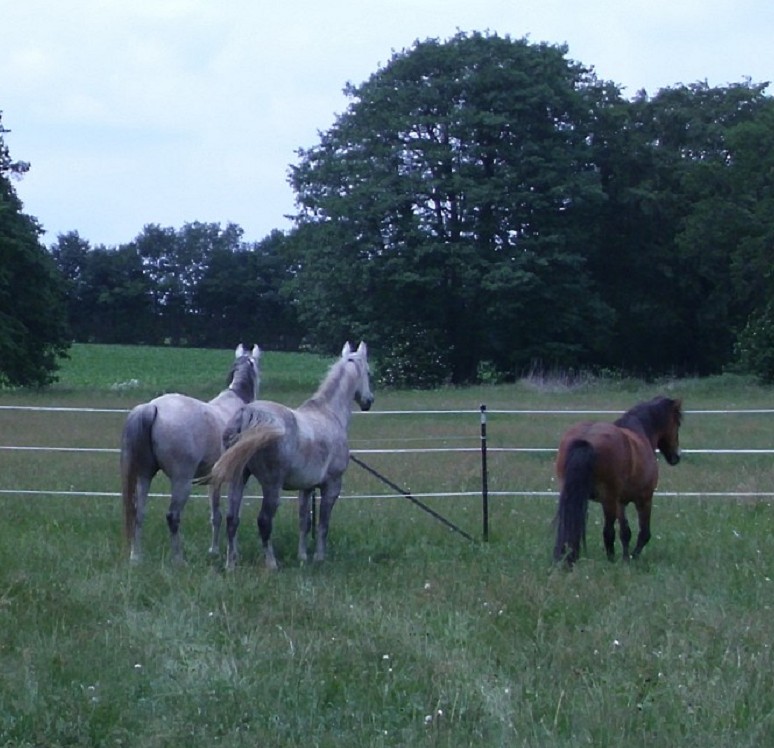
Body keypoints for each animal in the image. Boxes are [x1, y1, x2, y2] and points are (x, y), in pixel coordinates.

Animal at [121, 344, 260, 560]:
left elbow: (216, 515)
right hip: (181, 481)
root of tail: (152, 407)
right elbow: (234, 515)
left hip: (144, 476)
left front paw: (214, 550)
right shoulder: (237, 478)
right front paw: (233, 552)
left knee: (138, 513)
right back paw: (178, 559)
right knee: (173, 516)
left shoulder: (215, 480)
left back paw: (136, 557)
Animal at [208, 342, 374, 568]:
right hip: (271, 485)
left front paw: (302, 556)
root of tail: (247, 414)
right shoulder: (332, 485)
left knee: (232, 518)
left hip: (238, 478)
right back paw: (271, 564)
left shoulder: (306, 488)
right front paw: (319, 557)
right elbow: (323, 524)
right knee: (264, 521)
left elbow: (304, 521)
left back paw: (231, 564)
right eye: (368, 372)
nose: (368, 401)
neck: (328, 412)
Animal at [552, 394, 684, 564]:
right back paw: (610, 560)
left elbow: (625, 533)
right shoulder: (645, 499)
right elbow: (644, 533)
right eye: (677, 423)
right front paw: (632, 558)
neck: (639, 432)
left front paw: (626, 558)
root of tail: (586, 439)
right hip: (608, 500)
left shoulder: (621, 502)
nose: (676, 456)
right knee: (608, 532)